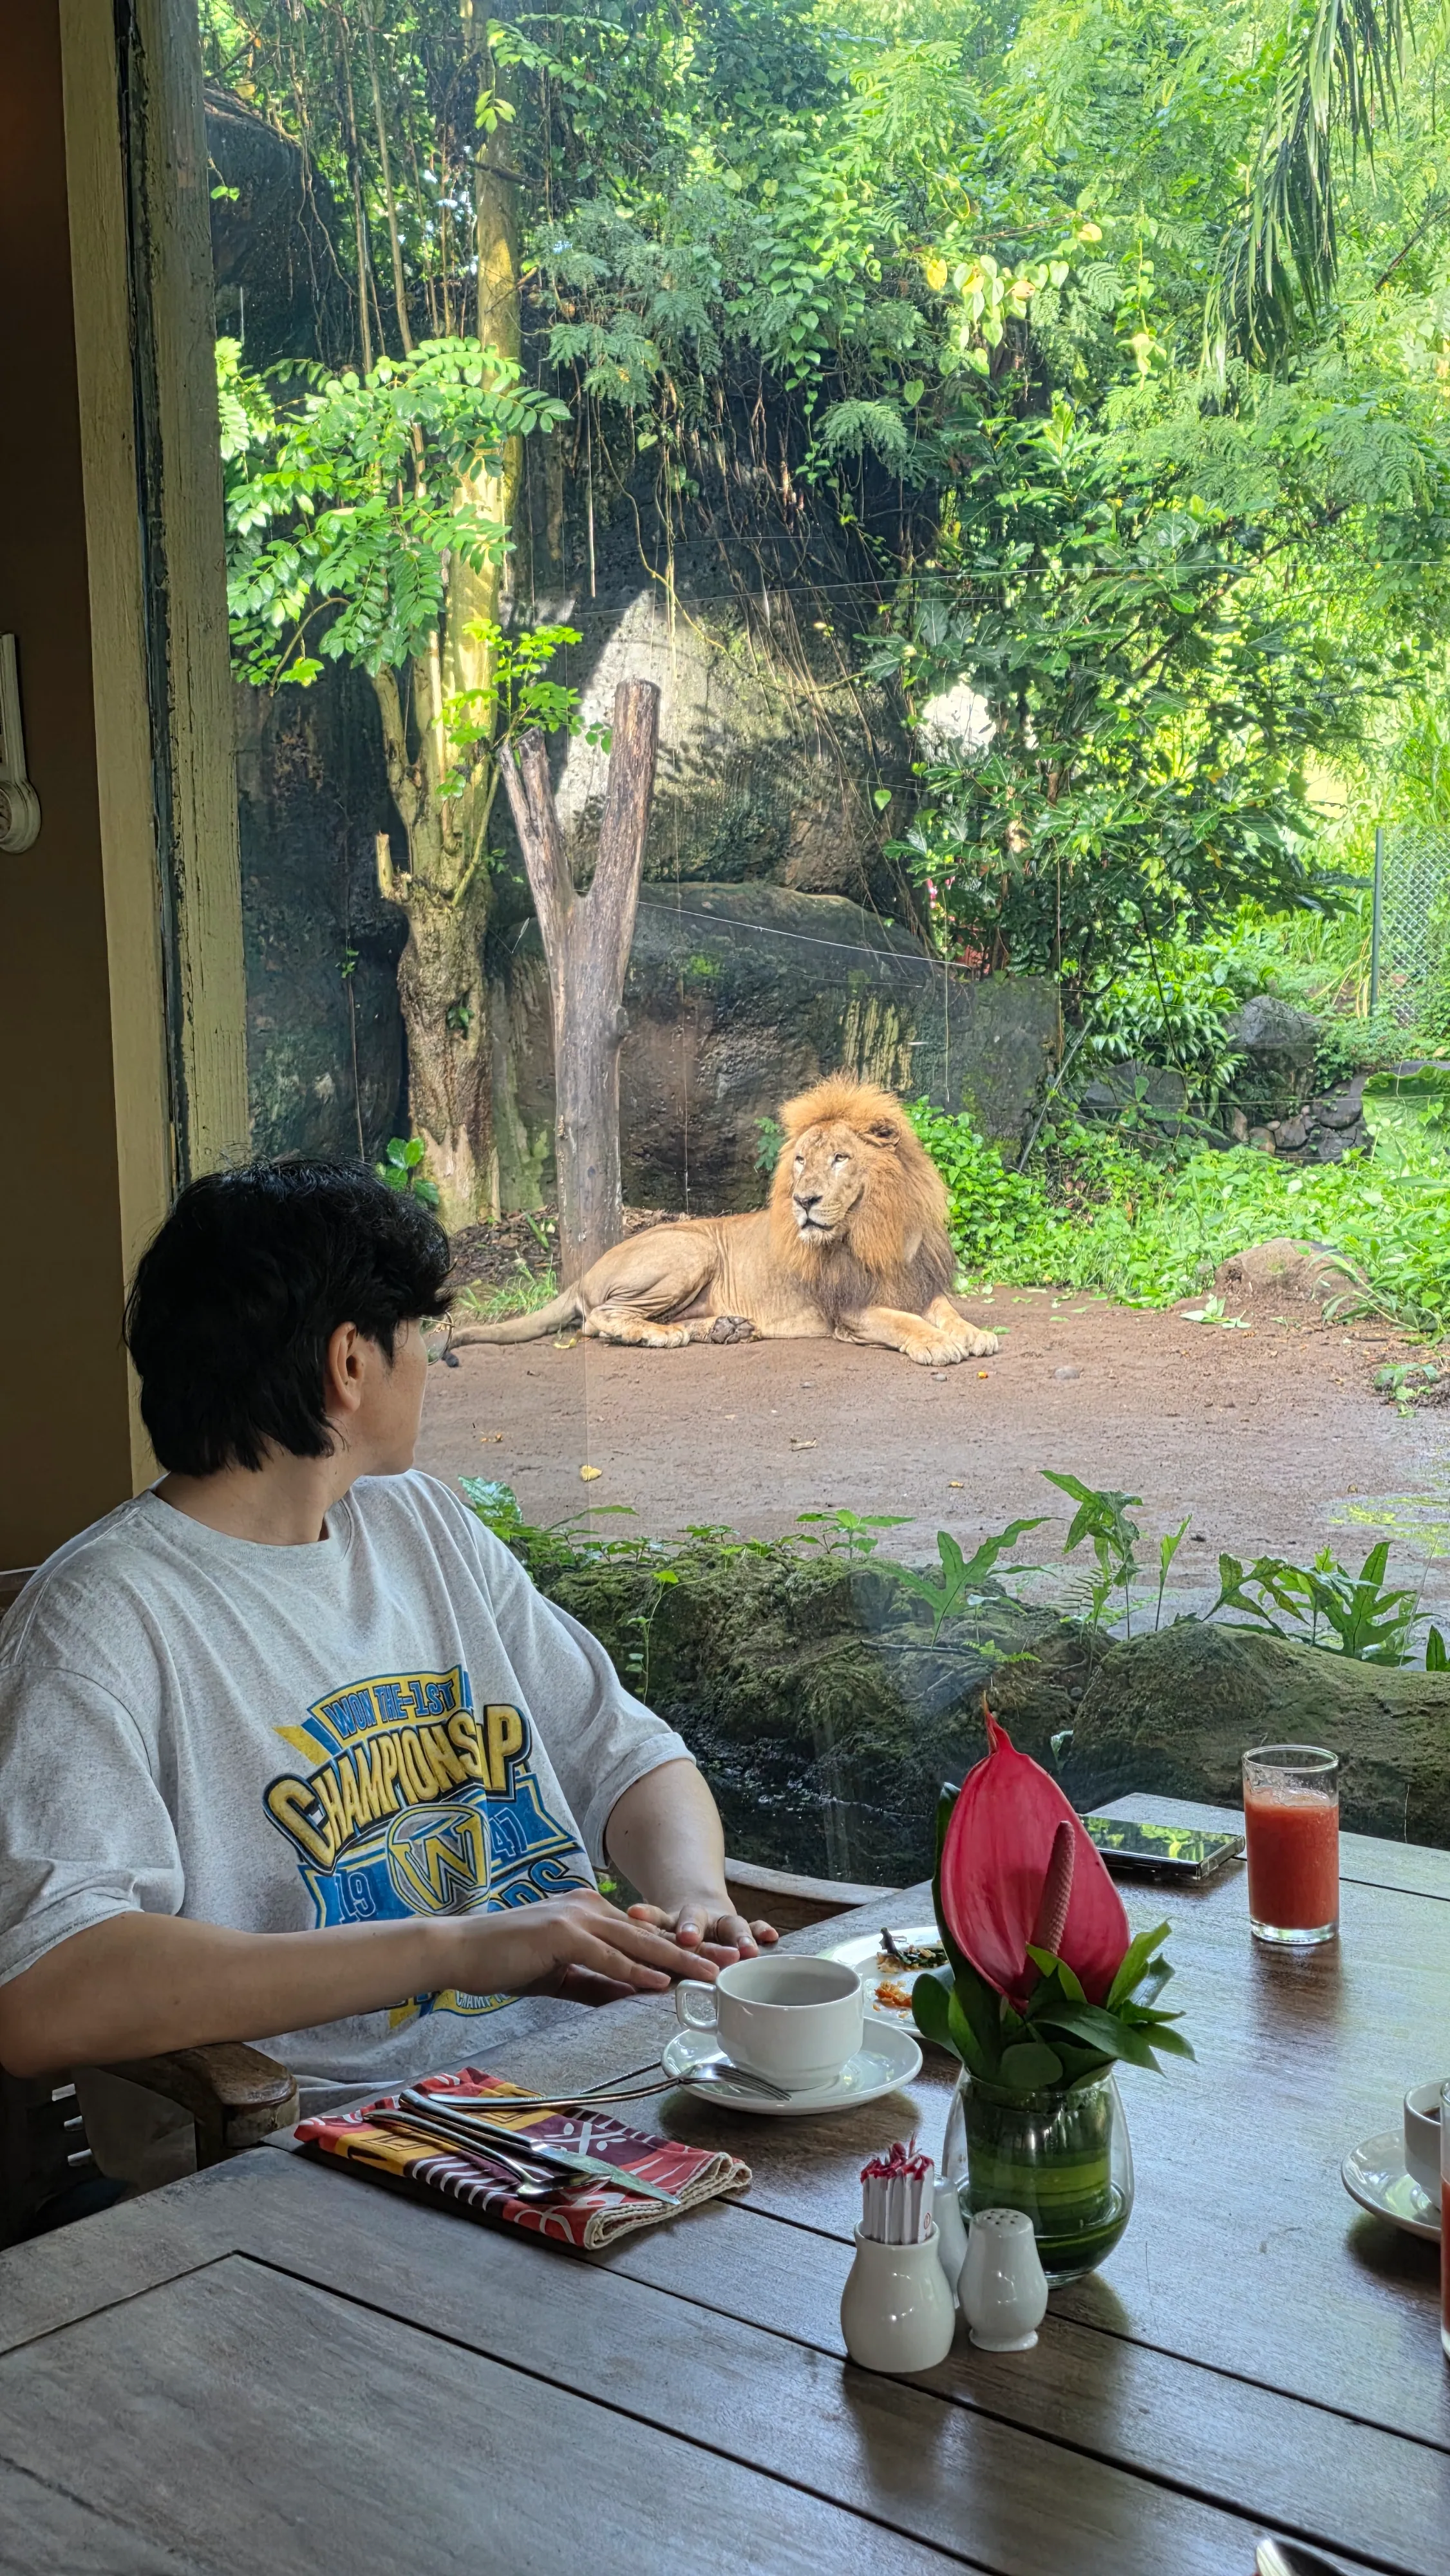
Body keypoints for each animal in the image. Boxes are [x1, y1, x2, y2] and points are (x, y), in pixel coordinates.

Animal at [450, 1076, 998, 1366]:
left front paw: (974, 1334)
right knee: (599, 1319)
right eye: (801, 1160)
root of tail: (586, 1271)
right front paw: (938, 1344)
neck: (873, 1227)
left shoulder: (916, 1281)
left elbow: (944, 1310)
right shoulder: (849, 1308)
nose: (803, 1200)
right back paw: (657, 1335)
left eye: (841, 1158)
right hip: (690, 1251)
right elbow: (901, 1320)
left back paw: (726, 1329)